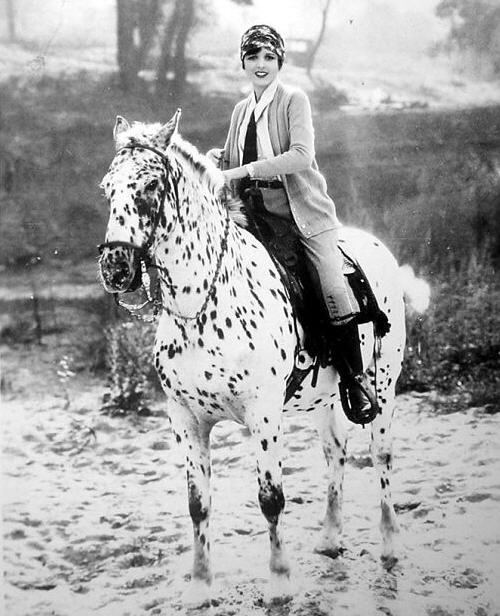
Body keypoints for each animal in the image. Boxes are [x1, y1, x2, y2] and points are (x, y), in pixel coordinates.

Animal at [98, 110, 426, 600]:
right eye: (107, 187)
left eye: (152, 185)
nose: (115, 266)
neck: (204, 303)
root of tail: (376, 249)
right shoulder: (185, 418)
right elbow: (197, 504)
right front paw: (200, 585)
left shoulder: (263, 413)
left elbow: (271, 499)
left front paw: (280, 581)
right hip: (327, 398)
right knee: (335, 453)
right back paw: (330, 538)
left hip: (383, 387)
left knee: (381, 455)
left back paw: (389, 547)